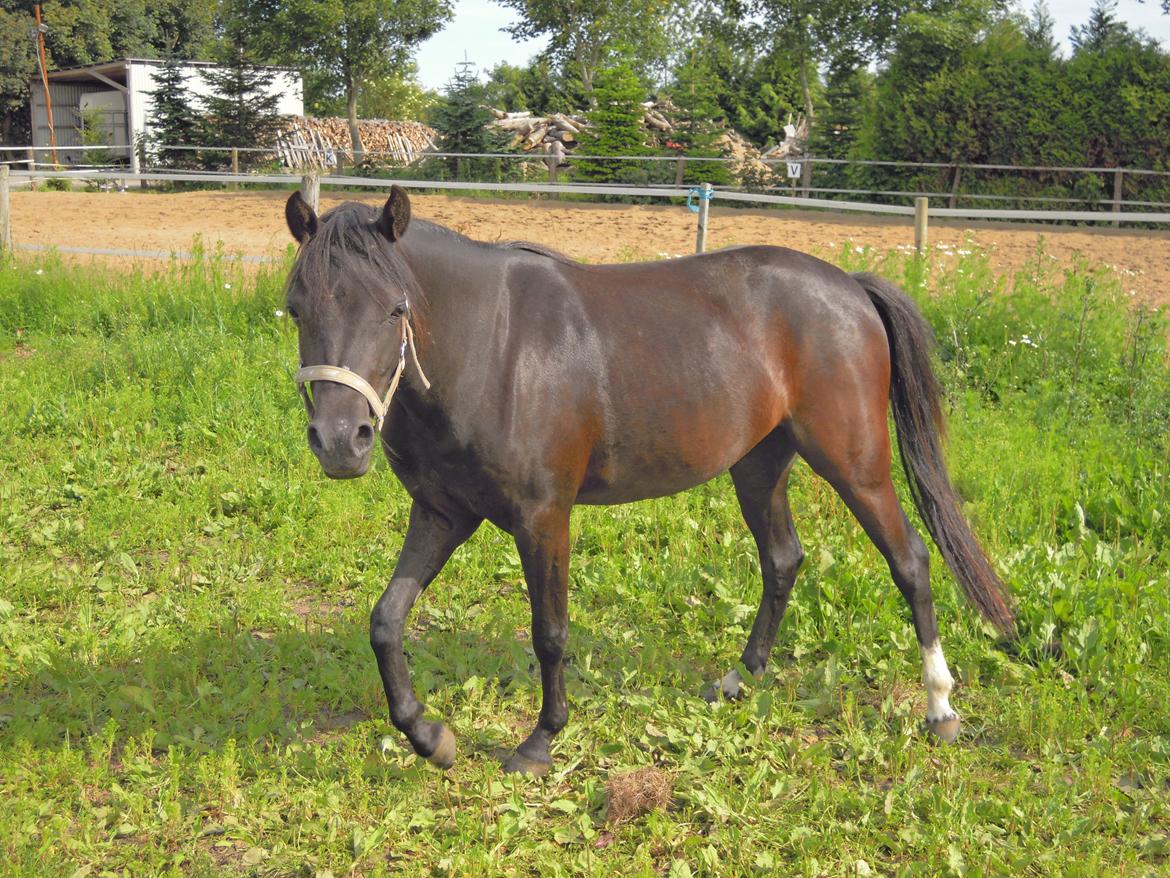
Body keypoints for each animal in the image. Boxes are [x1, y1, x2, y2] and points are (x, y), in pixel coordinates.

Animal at [283, 187, 1015, 777]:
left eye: (394, 308)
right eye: (296, 308)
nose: (341, 440)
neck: (493, 347)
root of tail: (851, 288)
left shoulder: (544, 516)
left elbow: (550, 631)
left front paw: (540, 742)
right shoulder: (443, 513)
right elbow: (385, 621)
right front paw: (429, 737)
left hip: (855, 466)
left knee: (910, 561)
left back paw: (940, 708)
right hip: (759, 465)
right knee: (783, 560)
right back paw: (737, 680)